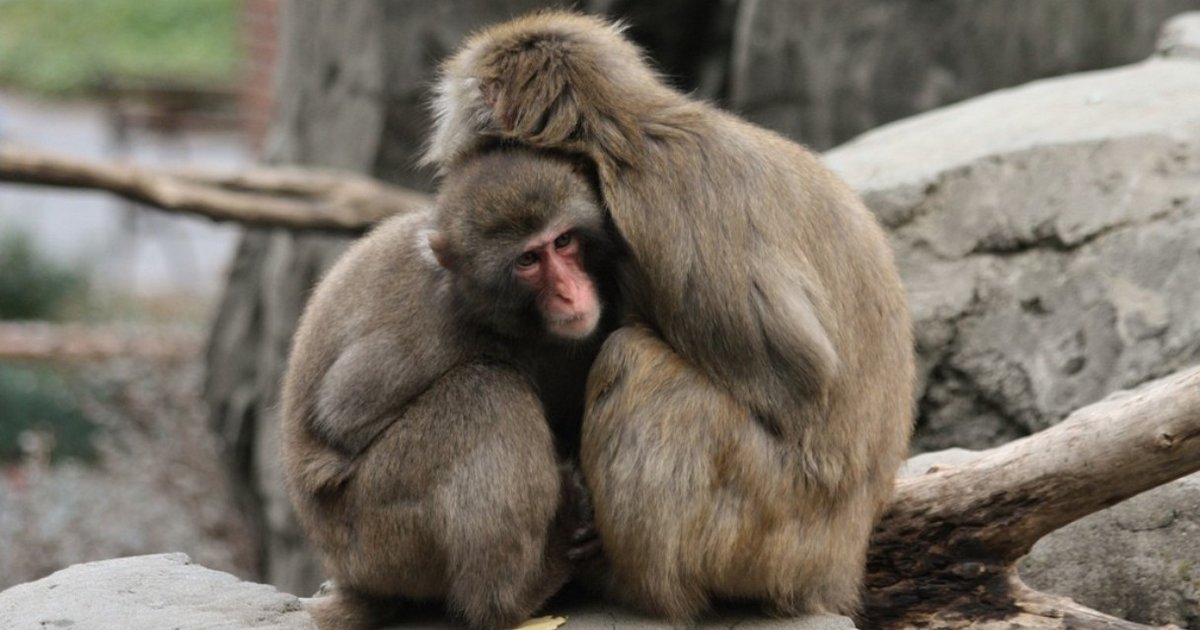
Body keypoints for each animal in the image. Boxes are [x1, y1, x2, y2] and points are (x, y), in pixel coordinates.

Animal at [280, 145, 621, 630]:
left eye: (563, 242)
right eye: (528, 261)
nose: (571, 293)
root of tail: (352, 576)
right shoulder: (433, 332)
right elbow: (341, 418)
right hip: (377, 537)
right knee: (486, 391)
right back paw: (516, 593)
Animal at [423, 11, 915, 621]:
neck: (627, 132)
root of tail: (842, 564)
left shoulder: (656, 199)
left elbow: (796, 375)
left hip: (774, 533)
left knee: (635, 365)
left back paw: (635, 585)